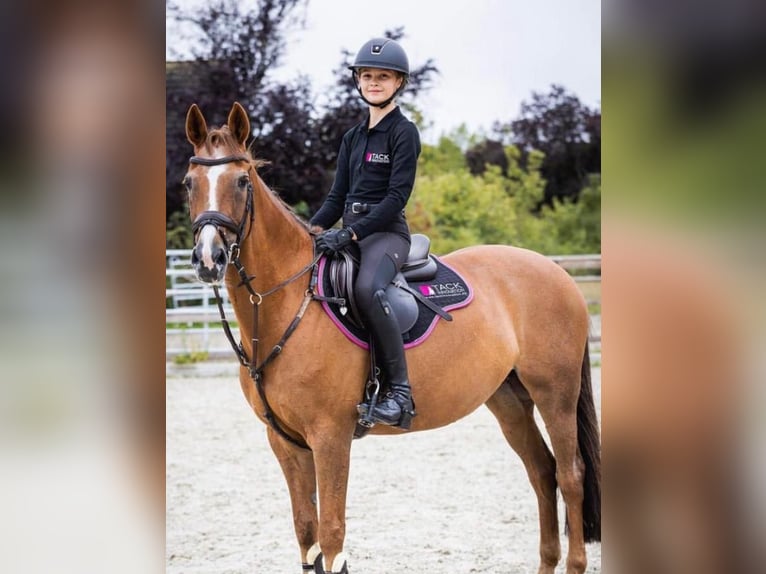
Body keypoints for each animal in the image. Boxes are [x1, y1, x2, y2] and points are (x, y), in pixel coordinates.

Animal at [183, 103, 604, 574]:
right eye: (189, 182)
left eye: (241, 180)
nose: (208, 258)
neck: (287, 304)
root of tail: (557, 272)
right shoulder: (286, 442)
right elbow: (307, 535)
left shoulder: (330, 436)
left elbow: (332, 536)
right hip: (509, 399)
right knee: (542, 472)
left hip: (555, 393)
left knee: (570, 474)